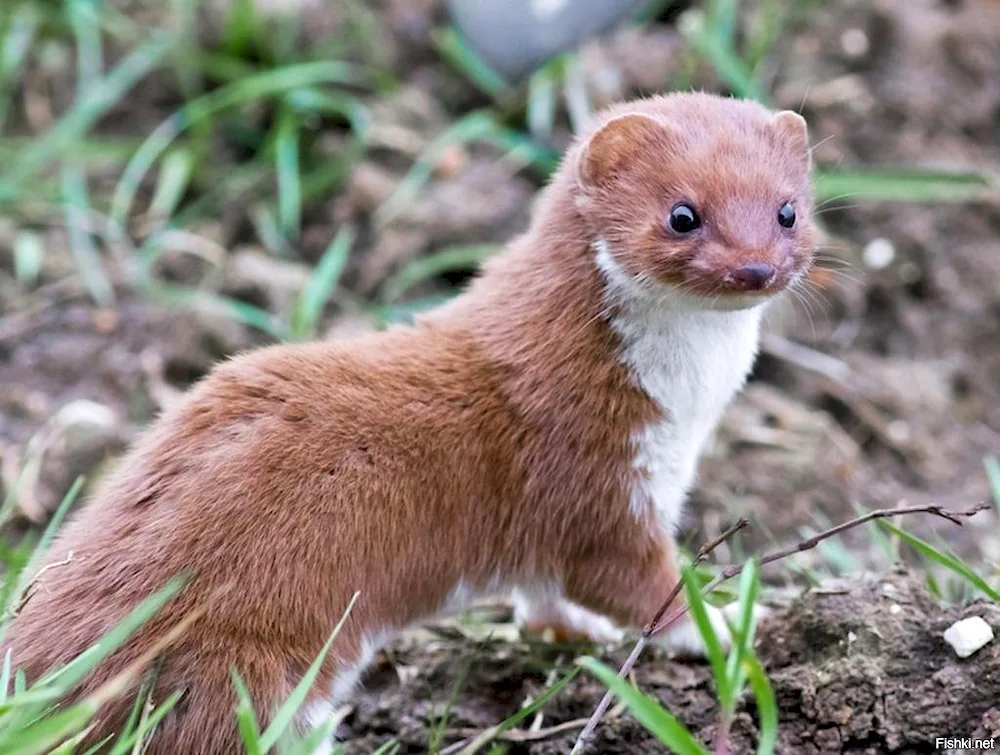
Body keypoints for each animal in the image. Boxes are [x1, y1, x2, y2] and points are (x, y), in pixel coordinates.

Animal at [3, 91, 812, 752]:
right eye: (682, 214)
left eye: (788, 210)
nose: (755, 269)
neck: (686, 413)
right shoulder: (593, 471)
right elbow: (633, 580)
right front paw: (729, 626)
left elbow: (547, 594)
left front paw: (573, 631)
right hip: (242, 673)